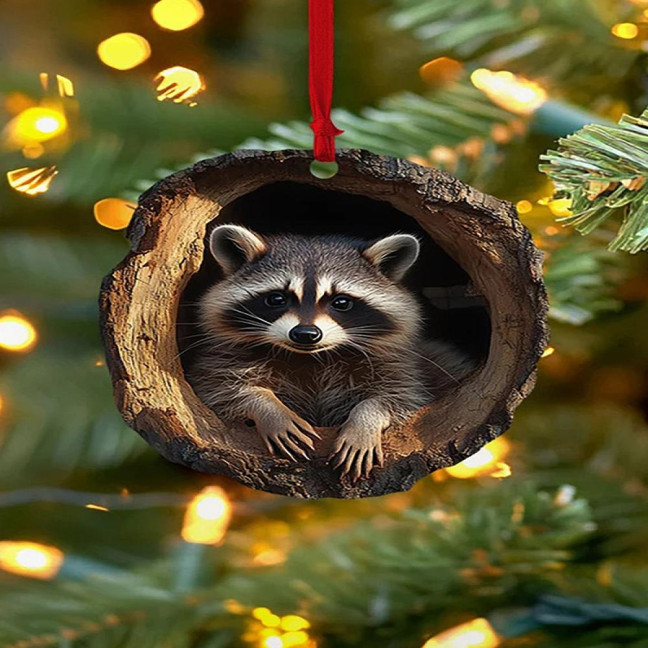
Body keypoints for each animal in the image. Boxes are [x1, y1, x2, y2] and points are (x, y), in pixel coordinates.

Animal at [187, 224, 474, 481]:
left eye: (341, 302)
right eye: (277, 298)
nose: (305, 334)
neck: (311, 357)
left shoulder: (399, 365)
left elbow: (400, 398)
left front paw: (365, 421)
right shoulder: (223, 359)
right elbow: (219, 389)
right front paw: (268, 407)